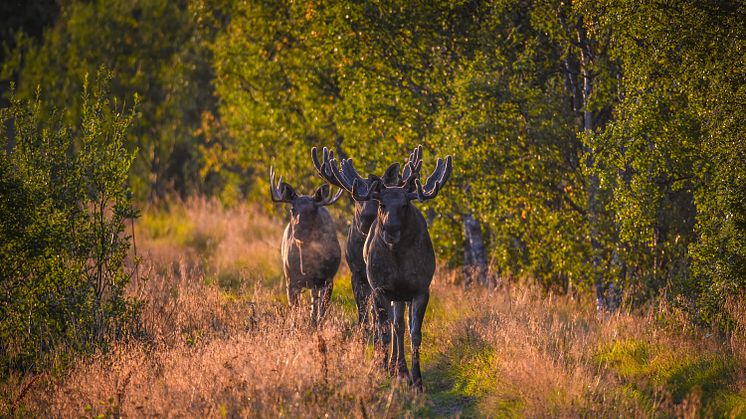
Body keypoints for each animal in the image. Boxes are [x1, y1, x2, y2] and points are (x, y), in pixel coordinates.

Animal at [268, 167, 342, 324]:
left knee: (315, 303)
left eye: (314, 210)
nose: (298, 231)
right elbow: (294, 310)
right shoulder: (290, 279)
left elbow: (321, 311)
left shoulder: (327, 278)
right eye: (292, 209)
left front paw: (317, 325)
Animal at [310, 145, 450, 390]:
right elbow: (381, 330)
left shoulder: (420, 289)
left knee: (399, 325)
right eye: (382, 204)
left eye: (404, 205)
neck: (399, 257)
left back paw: (401, 369)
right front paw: (381, 369)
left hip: (401, 295)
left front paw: (417, 380)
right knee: (385, 324)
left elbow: (414, 333)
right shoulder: (378, 287)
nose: (390, 230)